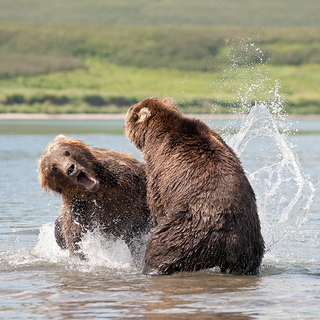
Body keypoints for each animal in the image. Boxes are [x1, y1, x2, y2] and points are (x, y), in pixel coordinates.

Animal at [124, 97, 264, 276]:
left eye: (131, 110)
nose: (127, 113)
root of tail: (230, 241)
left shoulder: (159, 165)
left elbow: (157, 200)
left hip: (186, 231)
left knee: (161, 248)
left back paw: (150, 267)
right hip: (250, 243)